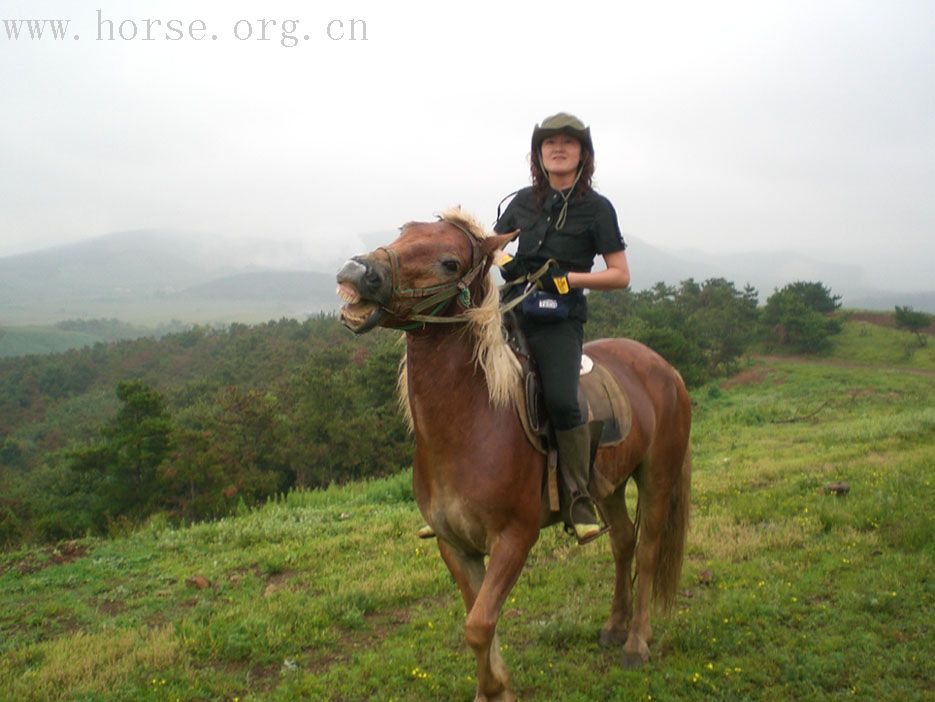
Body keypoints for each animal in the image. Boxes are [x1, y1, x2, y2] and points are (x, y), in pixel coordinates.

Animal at [334, 206, 688, 700]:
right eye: (403, 232)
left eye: (449, 262)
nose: (357, 272)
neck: (472, 424)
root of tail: (665, 368)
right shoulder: (454, 544)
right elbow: (478, 620)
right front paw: (490, 689)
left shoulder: (515, 539)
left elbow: (480, 624)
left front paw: (498, 687)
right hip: (609, 488)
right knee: (623, 541)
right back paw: (614, 627)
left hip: (657, 477)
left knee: (649, 550)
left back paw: (636, 642)